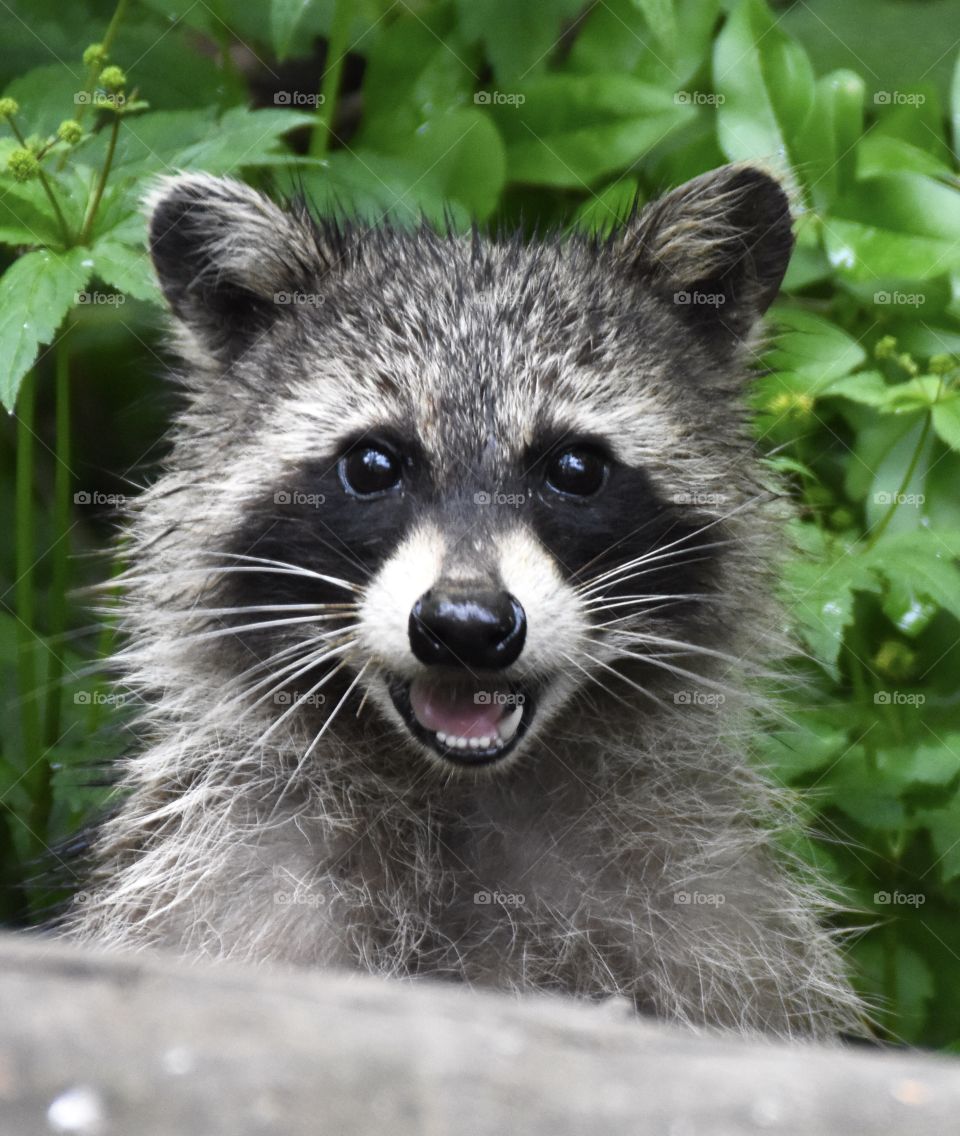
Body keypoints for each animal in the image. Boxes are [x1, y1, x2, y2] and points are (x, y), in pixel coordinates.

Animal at [67, 164, 865, 1040]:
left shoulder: (713, 924)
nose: (467, 628)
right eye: (373, 464)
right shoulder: (229, 888)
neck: (466, 793)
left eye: (575, 468)